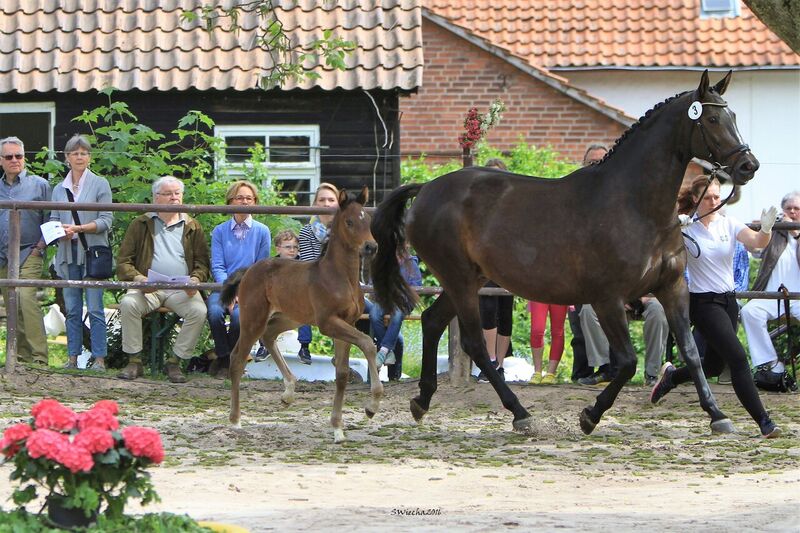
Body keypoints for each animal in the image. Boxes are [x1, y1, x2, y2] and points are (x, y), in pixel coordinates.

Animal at [220, 185, 380, 442]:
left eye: (368, 220)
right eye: (349, 221)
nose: (371, 247)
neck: (340, 277)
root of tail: (249, 270)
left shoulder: (347, 322)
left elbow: (342, 373)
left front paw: (338, 428)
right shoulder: (328, 323)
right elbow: (367, 343)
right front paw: (371, 406)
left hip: (287, 318)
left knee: (269, 337)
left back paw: (288, 392)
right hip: (253, 318)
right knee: (237, 358)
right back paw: (235, 421)